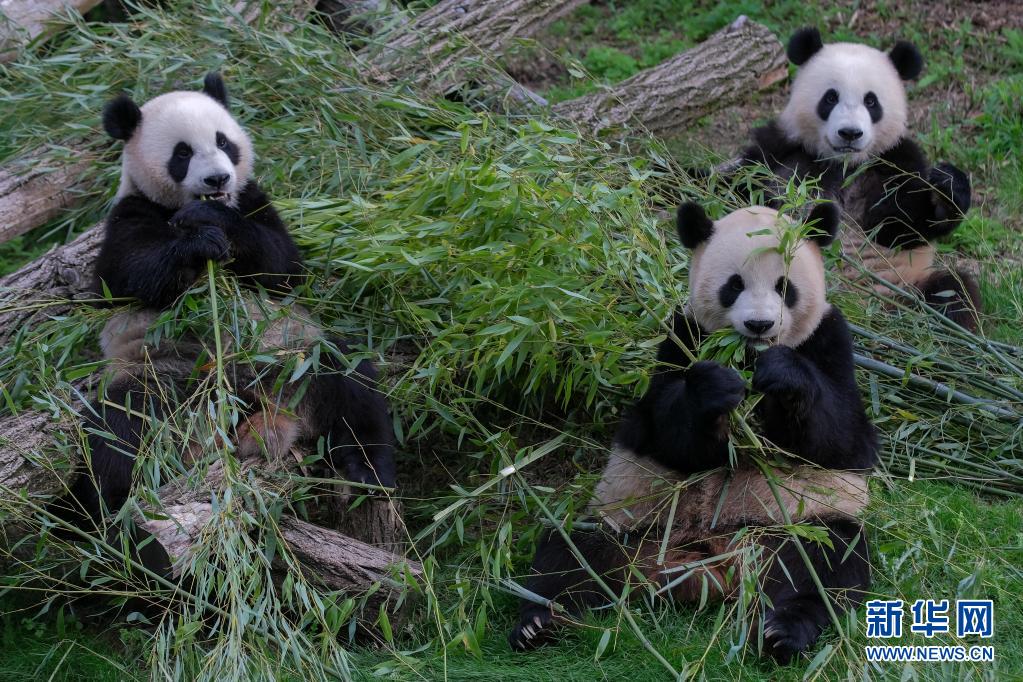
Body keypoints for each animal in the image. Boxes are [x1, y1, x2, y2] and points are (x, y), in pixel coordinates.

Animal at [60, 73, 394, 523]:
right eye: (182, 153)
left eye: (223, 142)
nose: (218, 180)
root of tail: (255, 409)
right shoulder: (130, 212)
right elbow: (123, 280)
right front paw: (196, 242)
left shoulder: (252, 199)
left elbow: (283, 267)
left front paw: (215, 223)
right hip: (164, 373)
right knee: (123, 426)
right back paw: (112, 513)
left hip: (293, 355)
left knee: (349, 382)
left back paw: (367, 472)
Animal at [511, 201, 879, 662]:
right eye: (734, 285)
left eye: (785, 287)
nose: (759, 325)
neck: (745, 355)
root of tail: (710, 567)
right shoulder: (680, 335)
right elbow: (663, 427)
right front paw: (716, 388)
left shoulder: (830, 337)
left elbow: (840, 435)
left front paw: (781, 374)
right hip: (631, 524)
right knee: (570, 555)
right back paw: (539, 621)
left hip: (795, 523)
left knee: (824, 565)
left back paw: (784, 631)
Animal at [716, 27, 977, 331]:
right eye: (830, 98)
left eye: (871, 101)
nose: (850, 133)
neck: (844, 164)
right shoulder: (781, 152)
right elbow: (740, 190)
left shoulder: (894, 160)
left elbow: (905, 226)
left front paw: (947, 185)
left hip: (909, 285)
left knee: (953, 293)